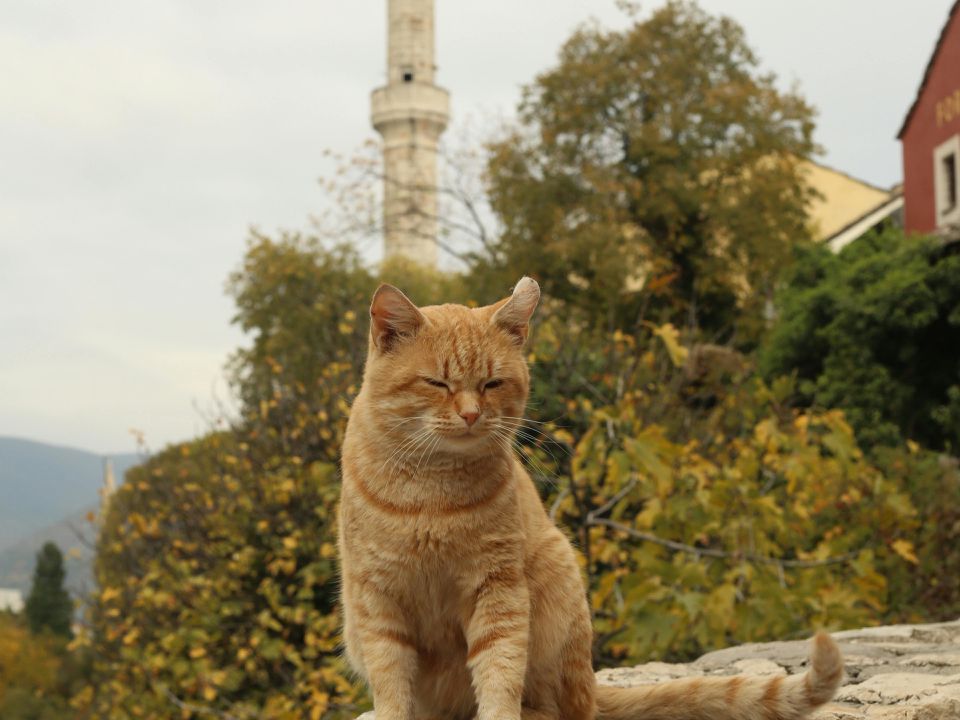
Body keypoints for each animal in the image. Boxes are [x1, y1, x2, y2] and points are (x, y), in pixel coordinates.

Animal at [336, 278, 840, 720]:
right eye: (437, 384)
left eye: (492, 384)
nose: (472, 414)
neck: (432, 489)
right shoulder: (376, 599)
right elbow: (391, 681)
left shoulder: (498, 588)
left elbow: (499, 670)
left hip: (559, 585)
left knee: (562, 709)